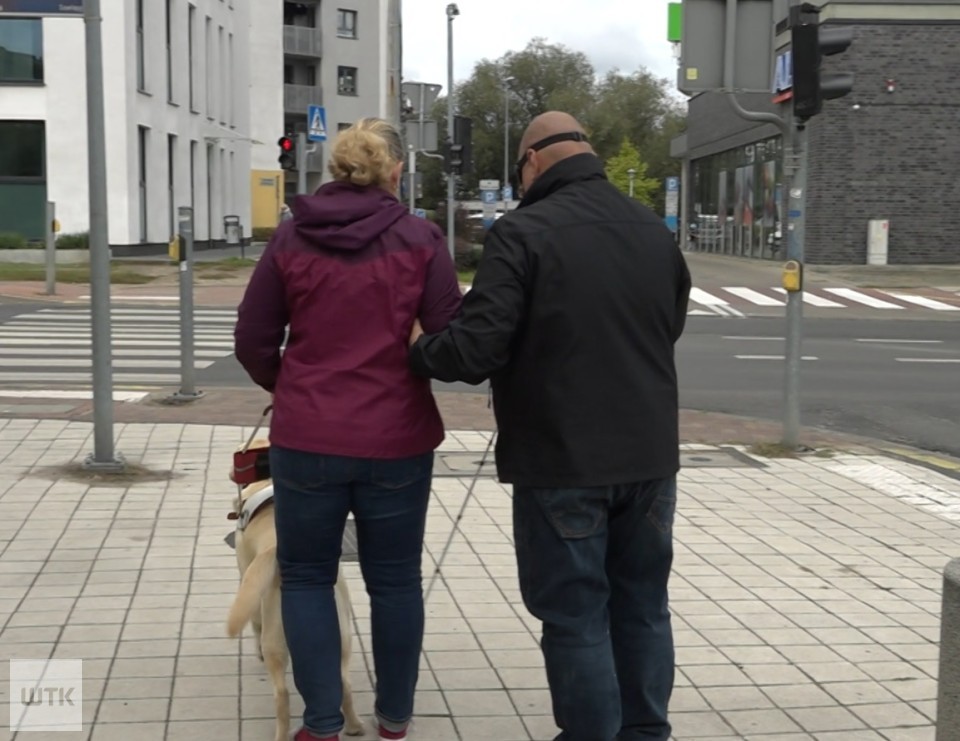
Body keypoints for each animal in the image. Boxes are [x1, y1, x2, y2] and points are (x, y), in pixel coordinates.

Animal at [226, 466, 364, 736]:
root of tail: (276, 551)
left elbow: (254, 623)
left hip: (274, 643)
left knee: (281, 695)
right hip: (342, 636)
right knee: (344, 684)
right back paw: (354, 727)